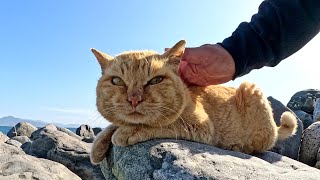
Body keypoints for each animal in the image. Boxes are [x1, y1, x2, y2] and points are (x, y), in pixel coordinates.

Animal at [89, 40, 298, 165]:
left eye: (155, 80)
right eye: (117, 81)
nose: (134, 99)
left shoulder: (200, 127)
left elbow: (161, 123)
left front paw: (127, 131)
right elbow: (112, 125)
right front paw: (98, 144)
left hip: (251, 90)